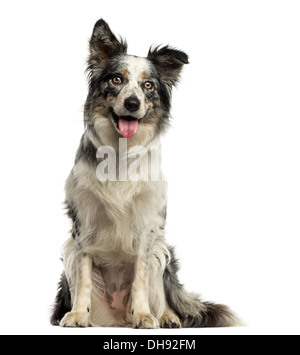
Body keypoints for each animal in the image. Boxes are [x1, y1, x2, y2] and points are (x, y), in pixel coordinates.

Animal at [51, 17, 239, 328]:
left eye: (147, 85)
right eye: (117, 79)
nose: (132, 104)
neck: (120, 152)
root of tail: (116, 318)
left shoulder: (147, 224)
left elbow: (140, 276)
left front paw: (143, 315)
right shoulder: (83, 223)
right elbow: (84, 276)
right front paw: (77, 314)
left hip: (163, 251)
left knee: (161, 291)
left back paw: (166, 316)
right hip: (68, 250)